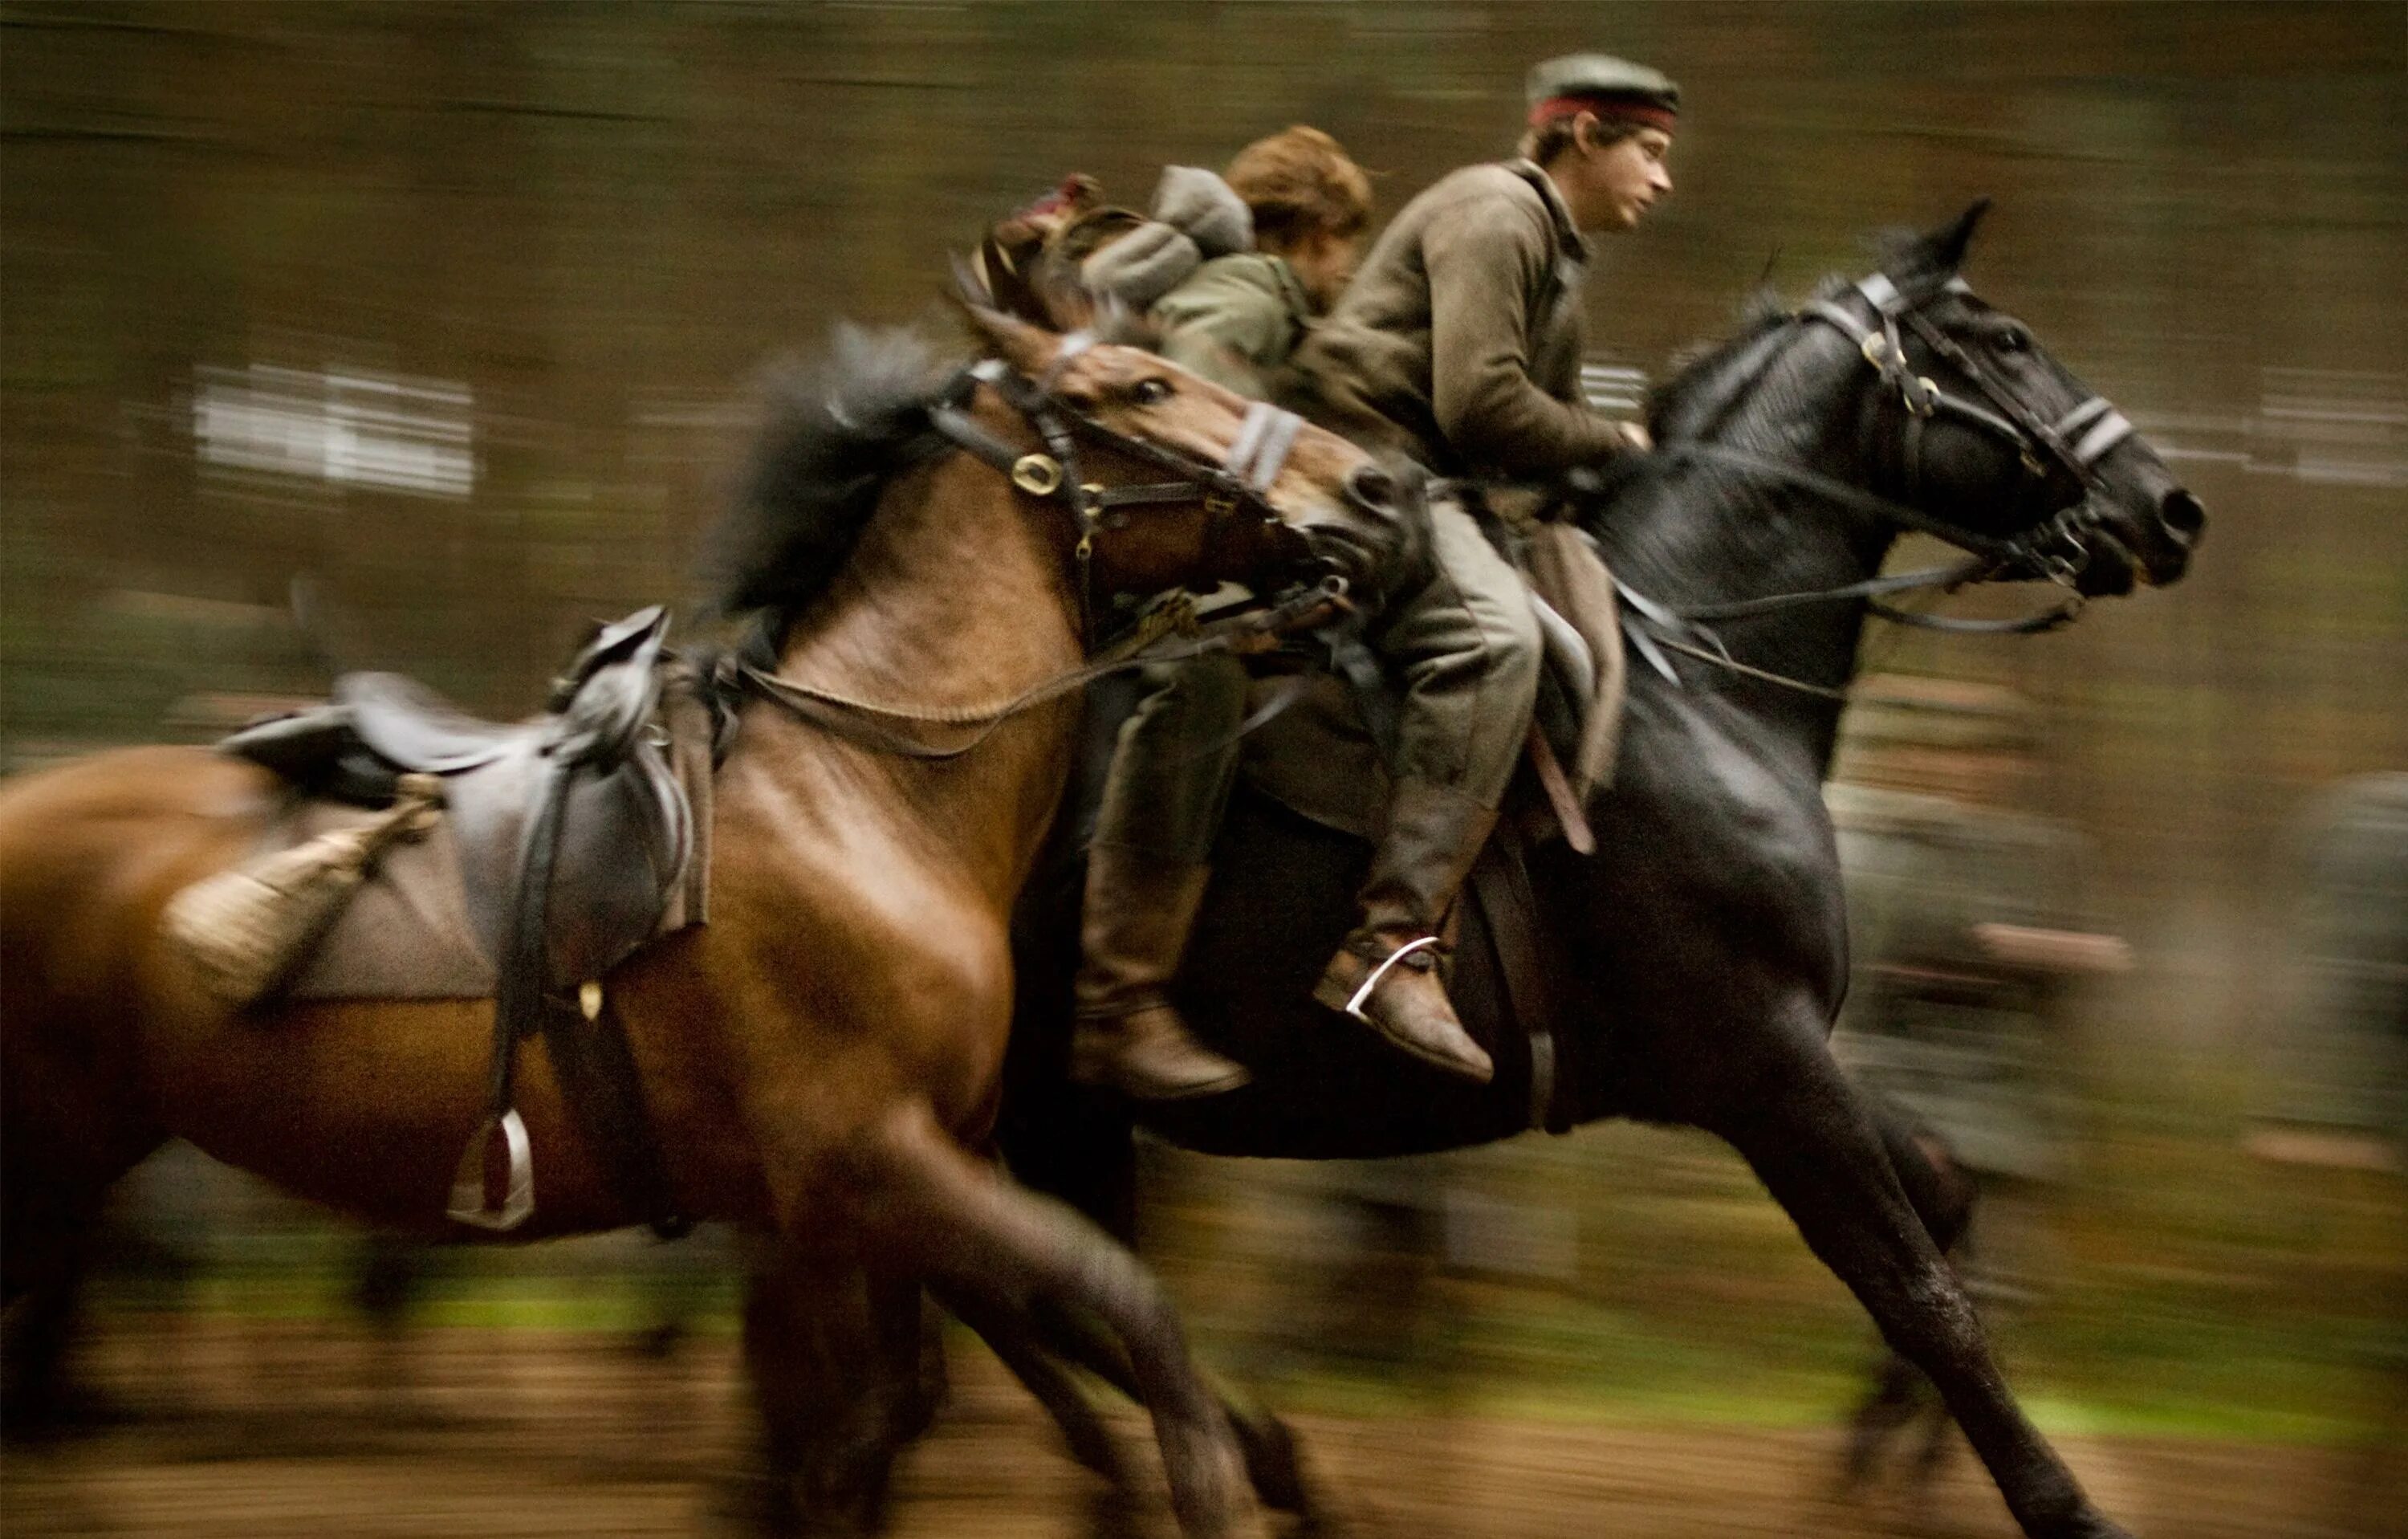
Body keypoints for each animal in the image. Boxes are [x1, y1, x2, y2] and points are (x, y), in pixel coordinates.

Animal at [0, 307, 1406, 1532]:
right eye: (1147, 386)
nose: (1376, 487)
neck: (868, 787)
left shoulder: (860, 1201)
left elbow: (886, 1420)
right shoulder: (867, 1165)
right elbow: (1116, 1311)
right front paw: (1219, 1486)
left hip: (82, 1165)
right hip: (51, 1159)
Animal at [978, 207, 2206, 1539]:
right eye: (2006, 339)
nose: (2173, 506)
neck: (1701, 676)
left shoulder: (1761, 1060)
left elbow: (1944, 1202)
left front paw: (1883, 1460)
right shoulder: (1764, 1060)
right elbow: (1923, 1292)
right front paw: (2064, 1509)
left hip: (1047, 1108)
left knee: (1046, 1293)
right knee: (1058, 1292)